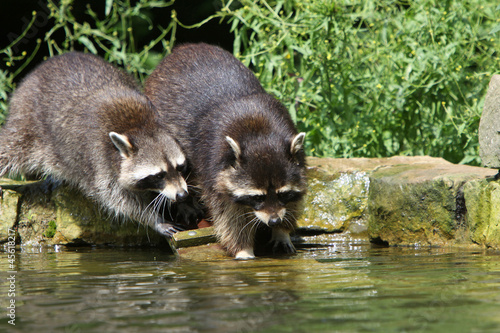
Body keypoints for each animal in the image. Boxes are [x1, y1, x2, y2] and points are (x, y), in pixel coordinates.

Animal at [0, 50, 188, 235]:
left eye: (180, 167)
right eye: (159, 175)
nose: (182, 195)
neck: (138, 127)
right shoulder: (100, 161)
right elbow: (120, 200)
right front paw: (153, 219)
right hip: (26, 123)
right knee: (10, 149)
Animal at [145, 42, 306, 258]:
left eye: (283, 194)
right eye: (257, 197)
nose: (274, 221)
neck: (260, 135)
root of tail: (184, 47)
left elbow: (294, 202)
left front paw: (282, 231)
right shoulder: (215, 169)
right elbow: (229, 216)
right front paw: (243, 249)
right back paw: (185, 202)